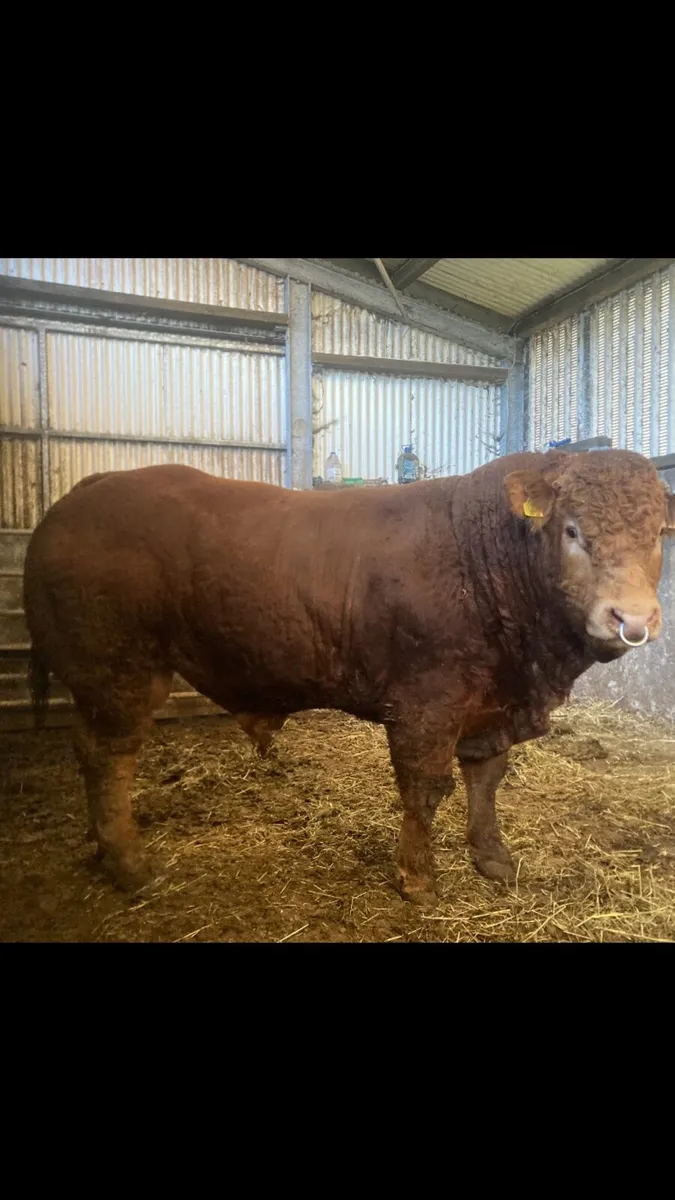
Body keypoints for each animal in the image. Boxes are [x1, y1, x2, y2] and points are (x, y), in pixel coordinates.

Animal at [23, 450, 675, 902]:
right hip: (119, 671)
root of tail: (90, 489)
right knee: (109, 758)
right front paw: (418, 880)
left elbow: (486, 778)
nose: (632, 619)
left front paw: (492, 858)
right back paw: (131, 865)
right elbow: (425, 787)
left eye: (658, 536)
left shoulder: (491, 705)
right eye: (572, 530)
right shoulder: (425, 703)